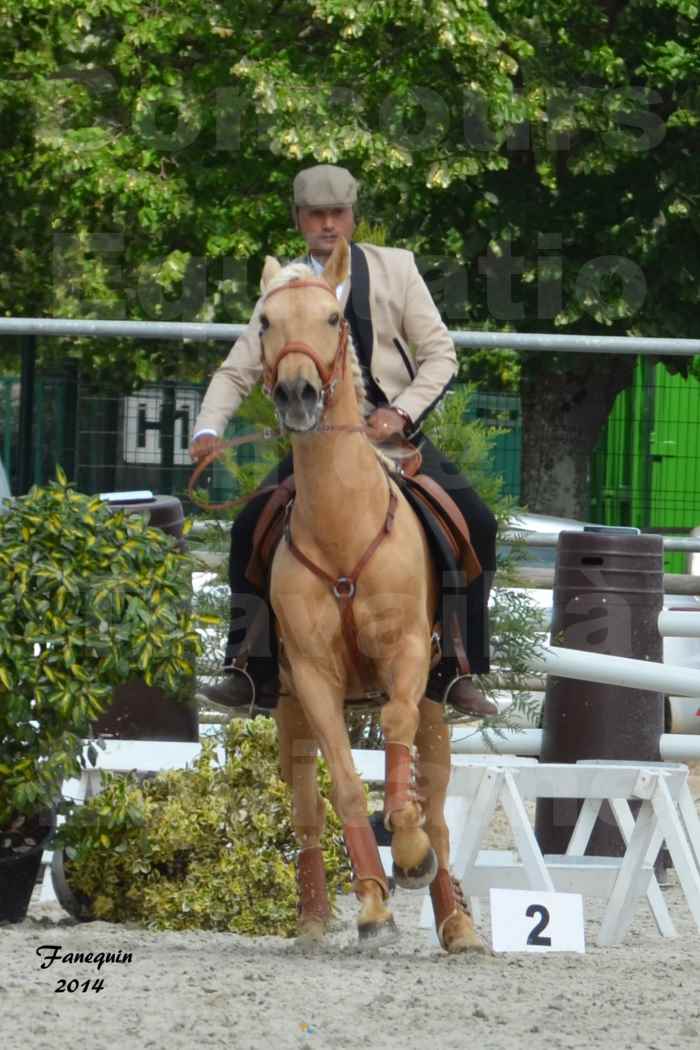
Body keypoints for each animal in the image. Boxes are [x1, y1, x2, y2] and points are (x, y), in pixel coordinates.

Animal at [260, 238, 484, 953]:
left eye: (332, 320)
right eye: (263, 322)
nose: (297, 393)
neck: (342, 527)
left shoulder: (408, 657)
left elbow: (395, 739)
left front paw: (409, 857)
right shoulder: (311, 677)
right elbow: (346, 784)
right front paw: (371, 905)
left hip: (440, 700)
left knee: (435, 803)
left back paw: (457, 922)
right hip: (286, 706)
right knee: (305, 802)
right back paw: (311, 917)